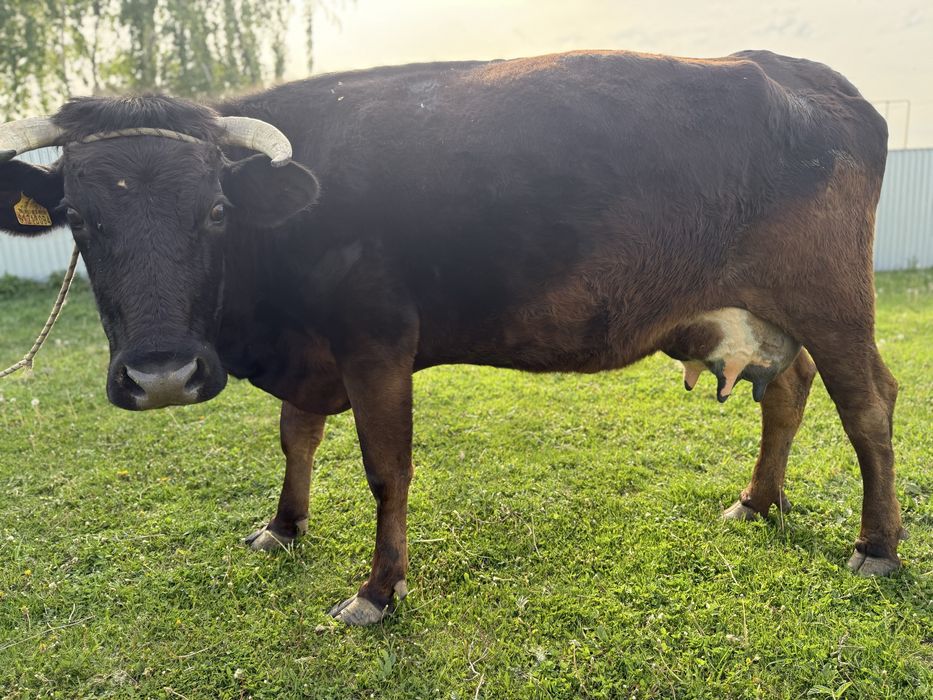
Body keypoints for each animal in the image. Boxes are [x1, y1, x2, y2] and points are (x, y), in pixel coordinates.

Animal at [0, 49, 903, 626]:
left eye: (215, 212)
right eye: (83, 220)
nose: (161, 374)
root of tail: (809, 77)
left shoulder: (376, 345)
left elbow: (385, 470)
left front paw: (377, 591)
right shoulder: (312, 357)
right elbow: (296, 437)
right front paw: (283, 527)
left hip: (832, 300)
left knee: (868, 405)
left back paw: (876, 545)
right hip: (771, 314)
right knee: (787, 392)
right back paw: (757, 500)